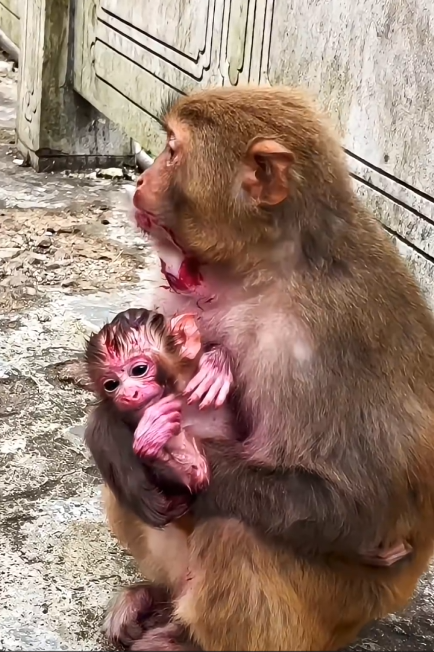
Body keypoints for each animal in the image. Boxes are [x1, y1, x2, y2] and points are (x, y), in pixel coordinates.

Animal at [98, 86, 434, 652]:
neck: (261, 268)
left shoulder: (321, 337)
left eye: (172, 150)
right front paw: (122, 442)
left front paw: (174, 453)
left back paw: (186, 636)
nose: (141, 182)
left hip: (340, 607)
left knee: (236, 532)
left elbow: (357, 504)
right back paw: (155, 597)